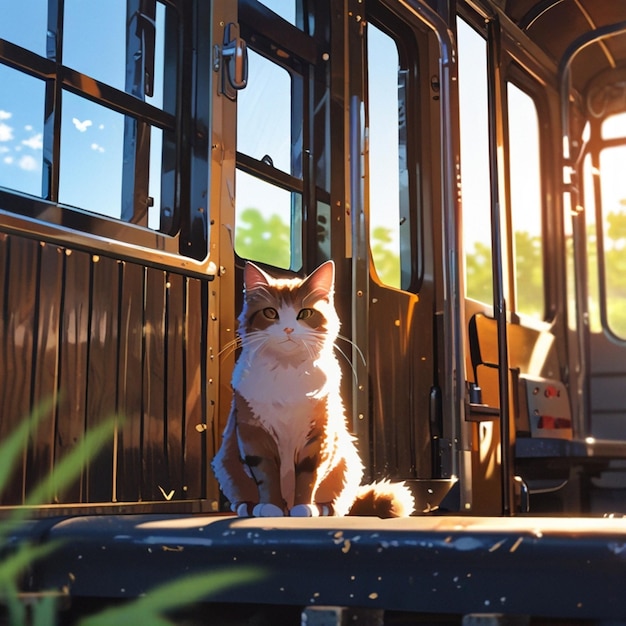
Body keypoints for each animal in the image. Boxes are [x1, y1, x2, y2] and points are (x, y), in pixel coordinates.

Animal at [211, 260, 414, 516]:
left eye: (305, 313)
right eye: (270, 313)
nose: (288, 329)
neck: (286, 372)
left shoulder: (319, 434)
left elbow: (309, 476)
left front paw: (303, 507)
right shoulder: (253, 432)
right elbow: (266, 475)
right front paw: (269, 506)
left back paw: (320, 509)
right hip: (224, 462)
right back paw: (249, 507)